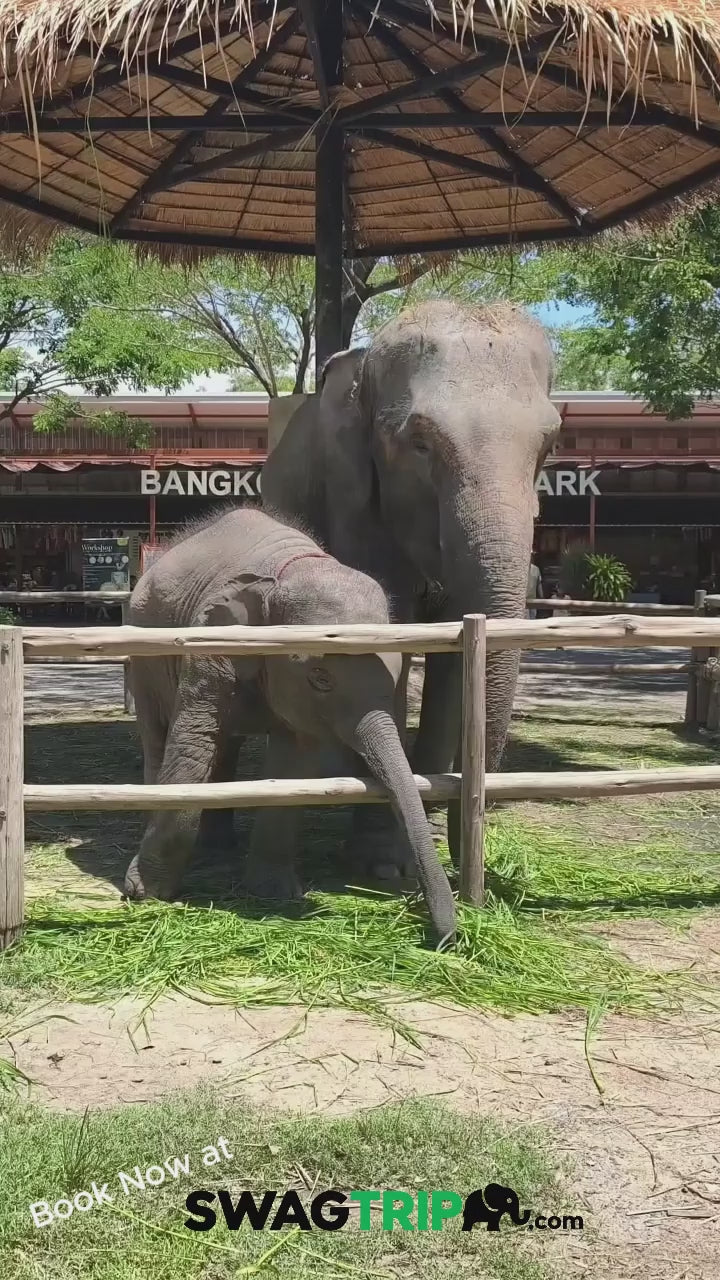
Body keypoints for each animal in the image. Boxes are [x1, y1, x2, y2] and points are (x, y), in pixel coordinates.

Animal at [123, 506, 456, 945]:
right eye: (320, 677)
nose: (445, 937)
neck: (289, 571)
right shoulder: (209, 646)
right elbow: (193, 745)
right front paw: (145, 894)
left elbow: (292, 765)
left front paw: (274, 894)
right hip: (143, 653)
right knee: (159, 735)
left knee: (224, 745)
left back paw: (217, 846)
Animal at [261, 299, 561, 869]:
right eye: (419, 443)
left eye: (548, 446)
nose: (473, 848)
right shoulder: (353, 496)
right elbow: (387, 634)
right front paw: (380, 860)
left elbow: (454, 645)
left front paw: (429, 821)